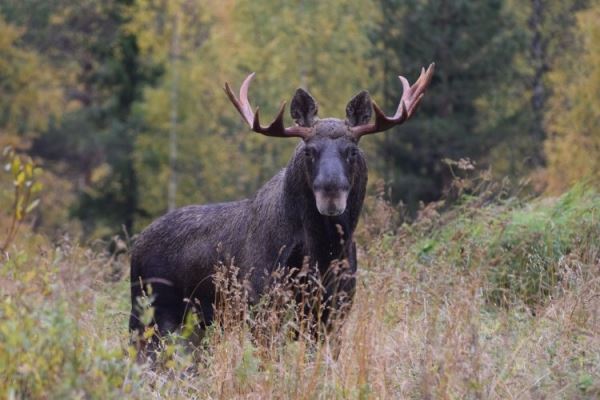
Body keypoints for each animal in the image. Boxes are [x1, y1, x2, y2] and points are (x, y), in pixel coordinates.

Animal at [129, 64, 434, 346]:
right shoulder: (262, 311)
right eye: (310, 151)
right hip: (147, 314)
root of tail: (136, 246)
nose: (331, 191)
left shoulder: (334, 316)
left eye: (352, 151)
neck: (324, 254)